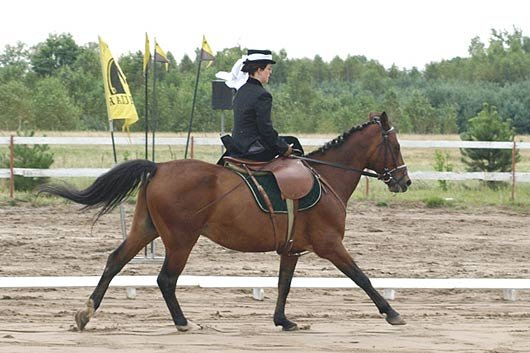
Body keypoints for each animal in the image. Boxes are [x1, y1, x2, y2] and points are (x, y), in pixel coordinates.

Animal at [41, 112, 410, 330]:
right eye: (395, 145)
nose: (404, 182)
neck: (327, 175)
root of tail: (158, 167)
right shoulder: (330, 244)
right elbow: (361, 276)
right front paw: (391, 313)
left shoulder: (292, 250)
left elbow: (284, 284)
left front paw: (282, 320)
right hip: (181, 239)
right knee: (165, 278)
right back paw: (183, 322)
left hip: (145, 230)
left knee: (115, 260)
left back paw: (85, 314)